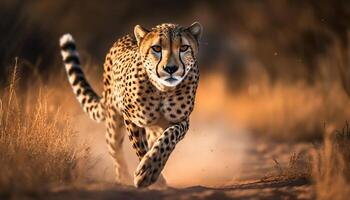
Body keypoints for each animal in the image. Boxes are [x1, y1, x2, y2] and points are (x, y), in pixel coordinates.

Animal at [59, 21, 202, 188]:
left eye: (184, 47)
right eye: (156, 48)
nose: (170, 69)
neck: (162, 90)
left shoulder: (181, 121)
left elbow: (167, 139)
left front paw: (150, 170)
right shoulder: (131, 118)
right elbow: (140, 147)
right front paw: (148, 175)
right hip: (113, 122)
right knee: (114, 149)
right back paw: (122, 178)